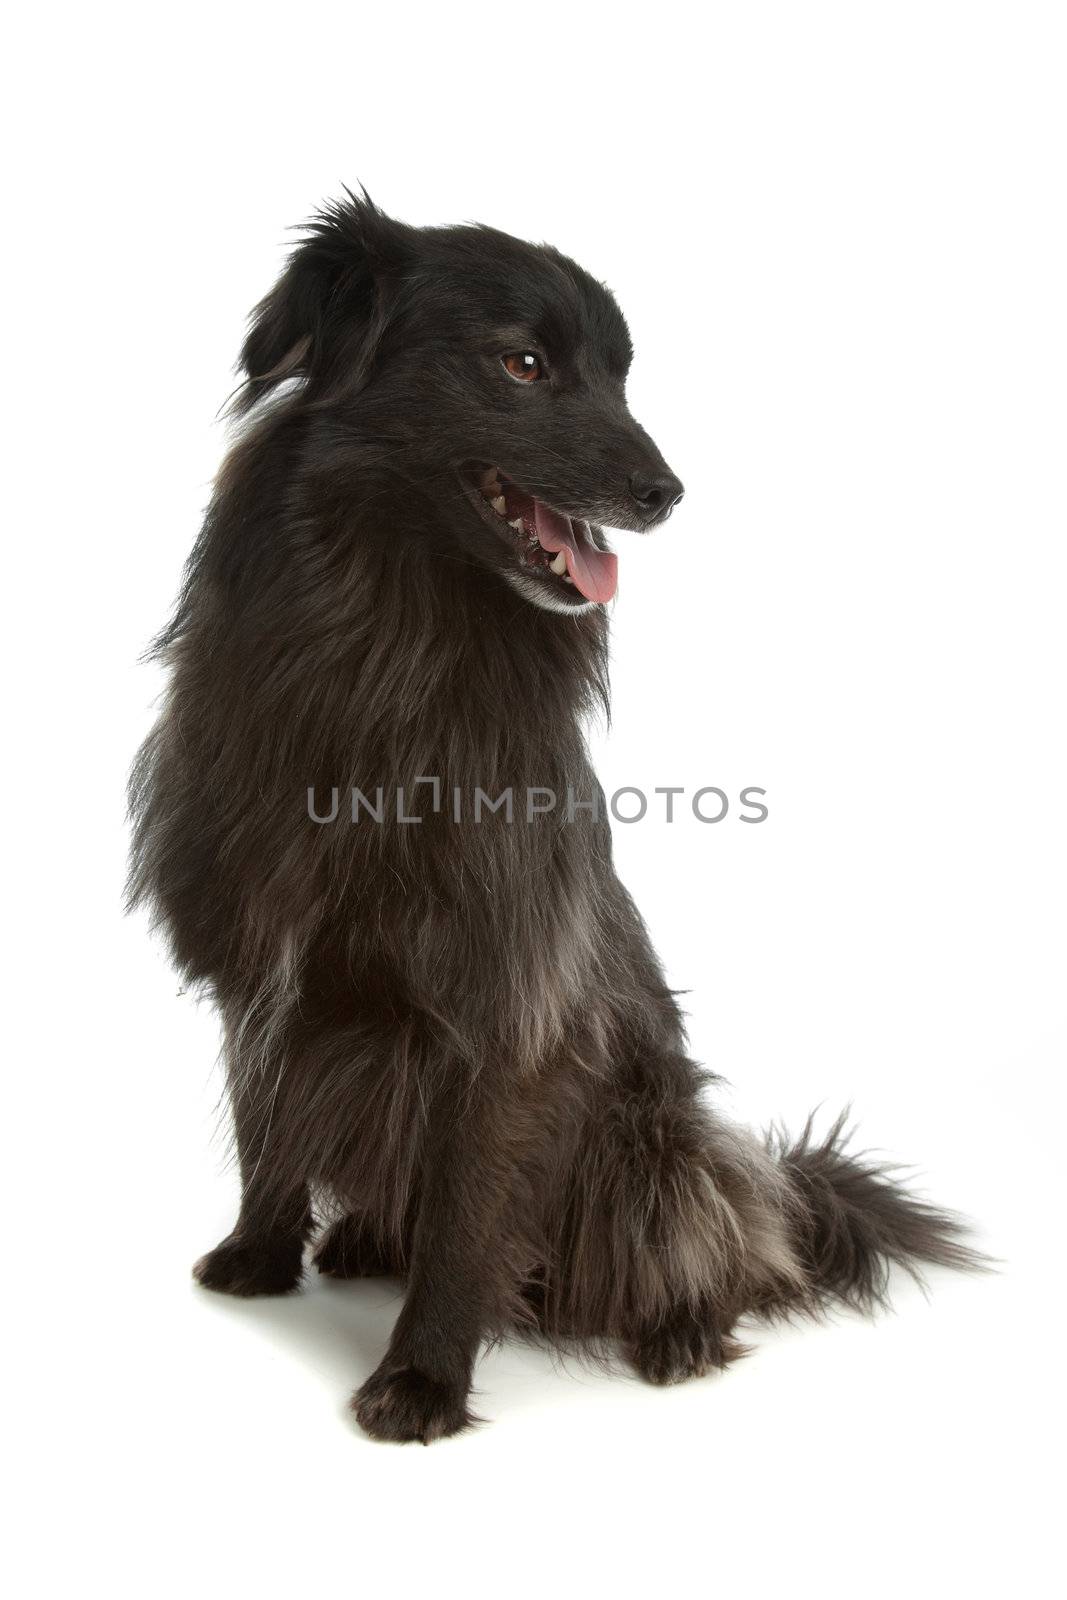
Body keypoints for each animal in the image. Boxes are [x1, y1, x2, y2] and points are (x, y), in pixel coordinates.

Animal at [127, 193, 979, 1446]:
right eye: (521, 364)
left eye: (621, 377)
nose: (667, 491)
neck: (389, 646)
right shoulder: (260, 958)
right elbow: (265, 1113)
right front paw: (258, 1255)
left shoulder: (505, 998)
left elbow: (466, 1212)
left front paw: (422, 1378)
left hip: (651, 1142)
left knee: (717, 1239)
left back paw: (677, 1331)